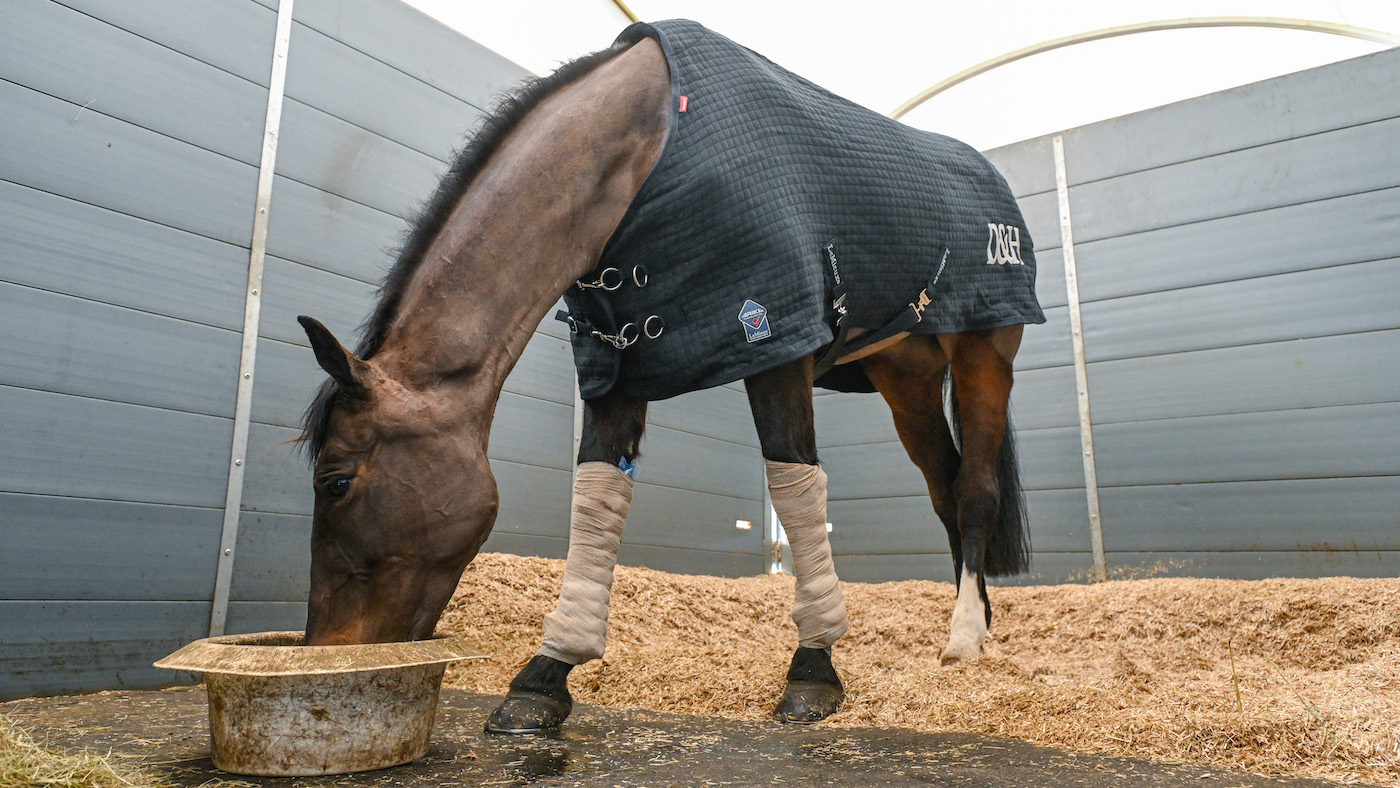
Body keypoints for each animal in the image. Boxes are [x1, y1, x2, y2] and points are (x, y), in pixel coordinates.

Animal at [297, 19, 1043, 733]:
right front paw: (544, 678)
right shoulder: (617, 363)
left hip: (984, 353)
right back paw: (975, 617)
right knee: (945, 490)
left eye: (335, 482)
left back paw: (966, 638)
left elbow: (796, 487)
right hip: (905, 379)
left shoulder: (775, 339)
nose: (327, 652)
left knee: (975, 490)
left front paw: (813, 669)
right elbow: (597, 501)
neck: (651, 145)